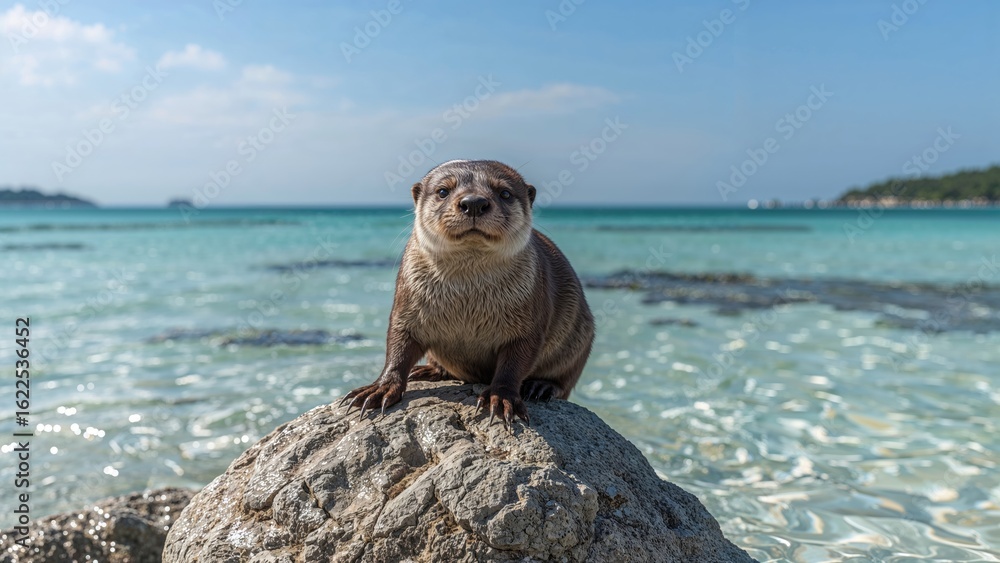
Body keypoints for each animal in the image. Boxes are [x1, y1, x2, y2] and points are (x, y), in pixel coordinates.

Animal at [342, 160, 594, 428]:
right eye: (443, 191)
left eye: (504, 193)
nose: (473, 202)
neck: (466, 300)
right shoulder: (406, 307)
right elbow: (398, 346)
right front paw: (380, 388)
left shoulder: (529, 322)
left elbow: (515, 363)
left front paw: (501, 397)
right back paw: (429, 370)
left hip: (580, 340)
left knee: (564, 381)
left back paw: (541, 386)